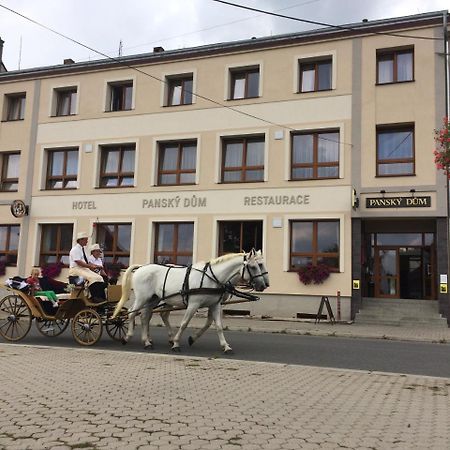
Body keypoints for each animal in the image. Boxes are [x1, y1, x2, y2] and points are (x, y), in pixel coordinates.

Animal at [112, 250, 268, 352]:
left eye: (261, 265)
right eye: (254, 267)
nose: (263, 285)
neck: (213, 278)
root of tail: (141, 267)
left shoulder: (215, 305)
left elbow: (218, 325)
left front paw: (226, 346)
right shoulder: (193, 304)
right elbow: (184, 323)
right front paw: (176, 343)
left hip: (154, 299)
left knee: (145, 316)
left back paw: (147, 341)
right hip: (142, 297)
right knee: (132, 313)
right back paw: (128, 337)